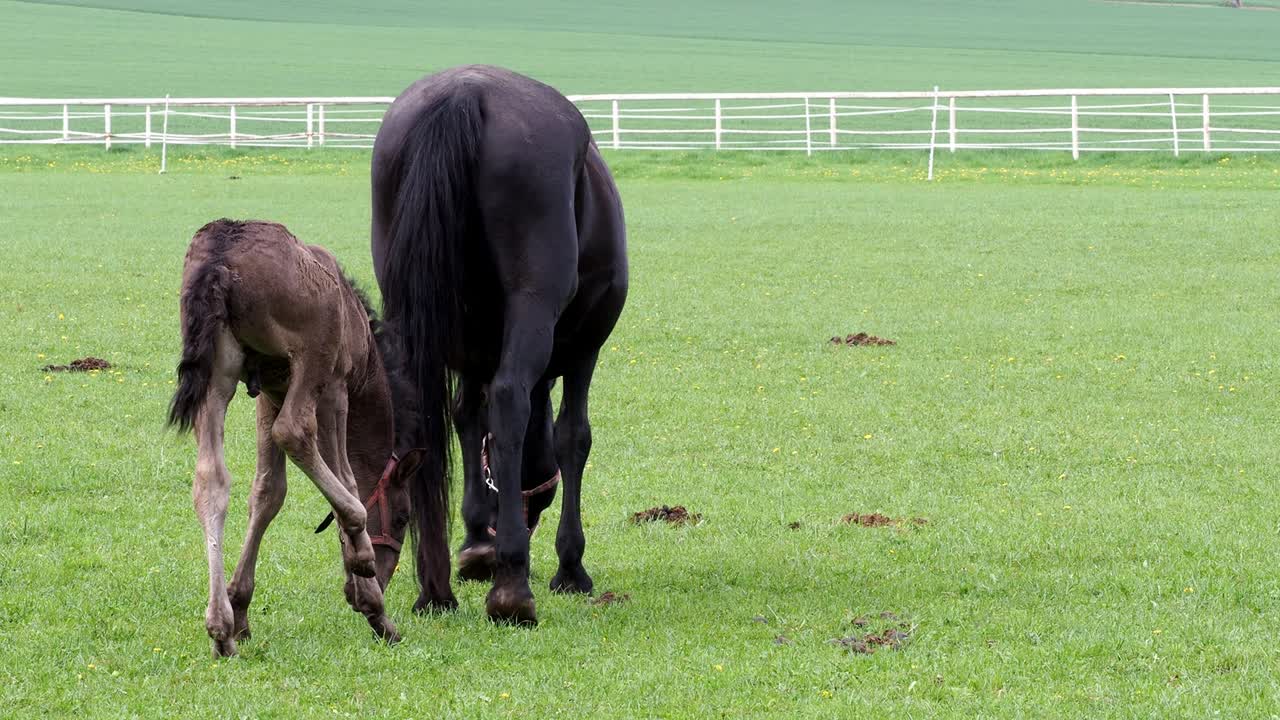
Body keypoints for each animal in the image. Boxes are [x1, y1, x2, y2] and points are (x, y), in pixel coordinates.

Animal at [168, 219, 433, 656]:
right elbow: (347, 480)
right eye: (401, 516)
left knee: (211, 478)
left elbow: (267, 492)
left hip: (219, 371)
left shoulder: (268, 394)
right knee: (293, 431)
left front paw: (240, 607)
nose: (384, 575)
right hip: (313, 357)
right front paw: (371, 601)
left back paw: (221, 627)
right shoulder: (337, 389)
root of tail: (220, 251)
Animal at [371, 65, 628, 625]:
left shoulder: (472, 356)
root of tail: (465, 92)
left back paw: (436, 587)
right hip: (536, 301)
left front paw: (472, 542)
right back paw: (512, 585)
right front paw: (568, 566)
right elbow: (572, 437)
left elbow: (468, 418)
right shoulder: (585, 350)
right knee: (511, 399)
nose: (523, 515)